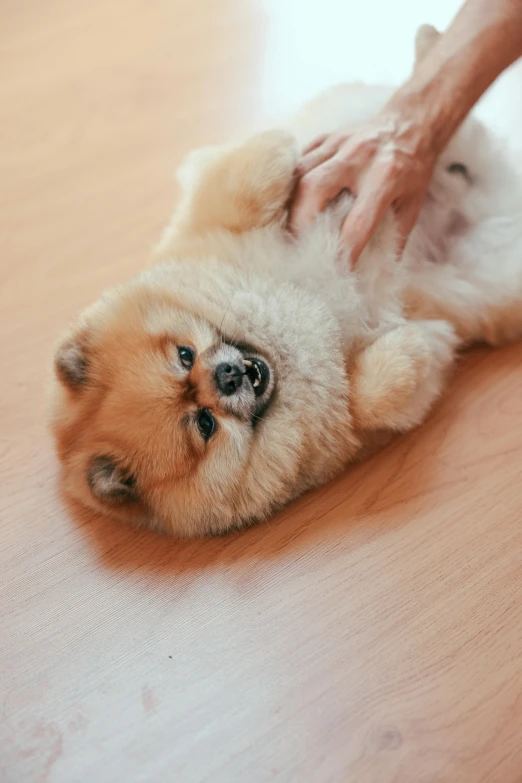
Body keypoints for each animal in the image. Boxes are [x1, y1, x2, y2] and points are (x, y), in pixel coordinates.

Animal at [50, 26, 520, 540]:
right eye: (204, 424)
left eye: (184, 355)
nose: (228, 375)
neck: (285, 334)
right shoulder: (356, 421)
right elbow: (378, 397)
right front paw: (416, 347)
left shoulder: (210, 223)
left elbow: (245, 177)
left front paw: (284, 144)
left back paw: (428, 50)